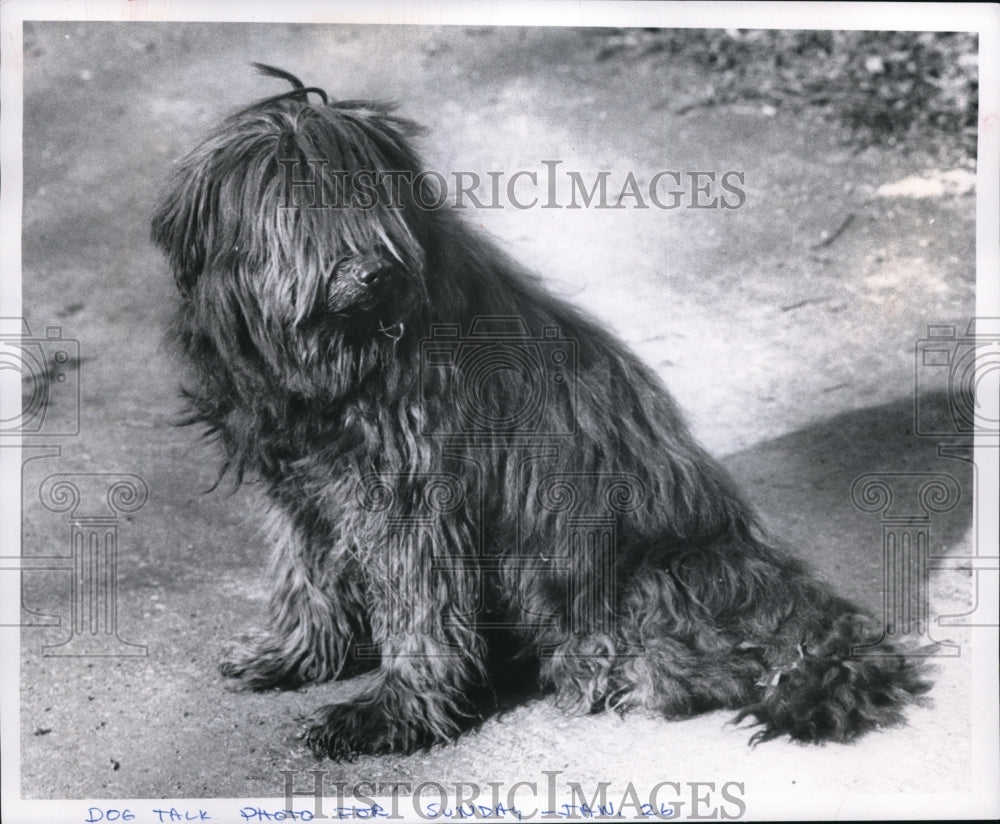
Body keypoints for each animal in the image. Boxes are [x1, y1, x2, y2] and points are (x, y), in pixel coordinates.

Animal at [152, 64, 932, 760]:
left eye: (376, 208)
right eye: (298, 215)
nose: (375, 275)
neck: (337, 360)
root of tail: (775, 588)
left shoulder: (414, 499)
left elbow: (419, 613)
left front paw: (389, 717)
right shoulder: (305, 487)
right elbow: (306, 578)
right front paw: (295, 656)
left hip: (622, 571)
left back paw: (609, 673)